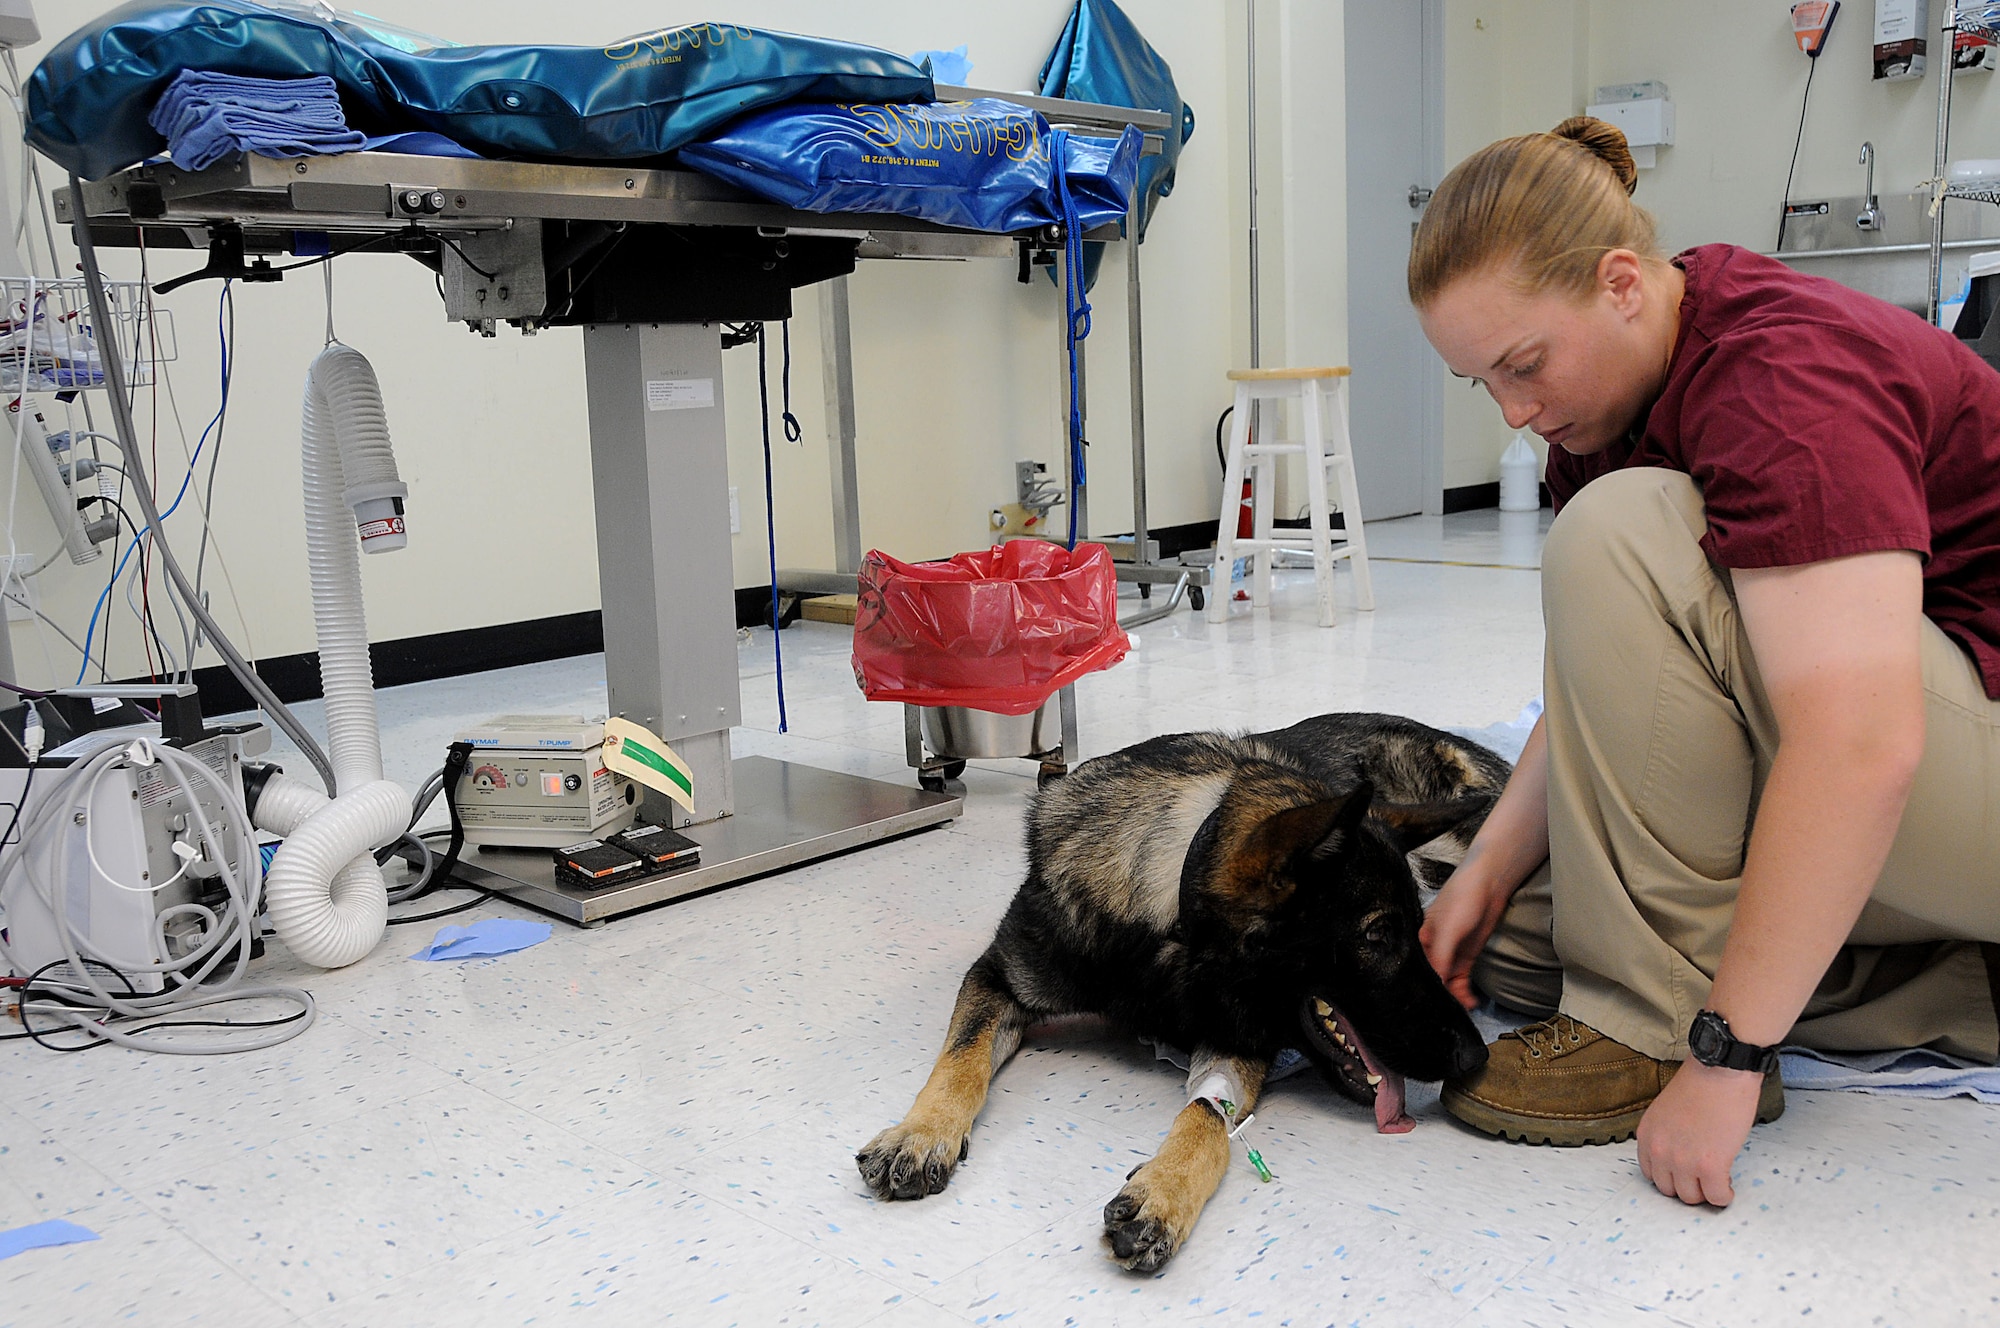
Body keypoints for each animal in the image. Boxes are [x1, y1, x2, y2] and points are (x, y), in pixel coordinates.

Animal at [856, 712, 1504, 1272]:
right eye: (1377, 935)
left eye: (1415, 931)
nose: (1475, 1057)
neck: (1171, 914)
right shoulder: (996, 976)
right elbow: (962, 1059)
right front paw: (921, 1134)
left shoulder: (1236, 1037)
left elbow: (1205, 1119)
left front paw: (1165, 1192)